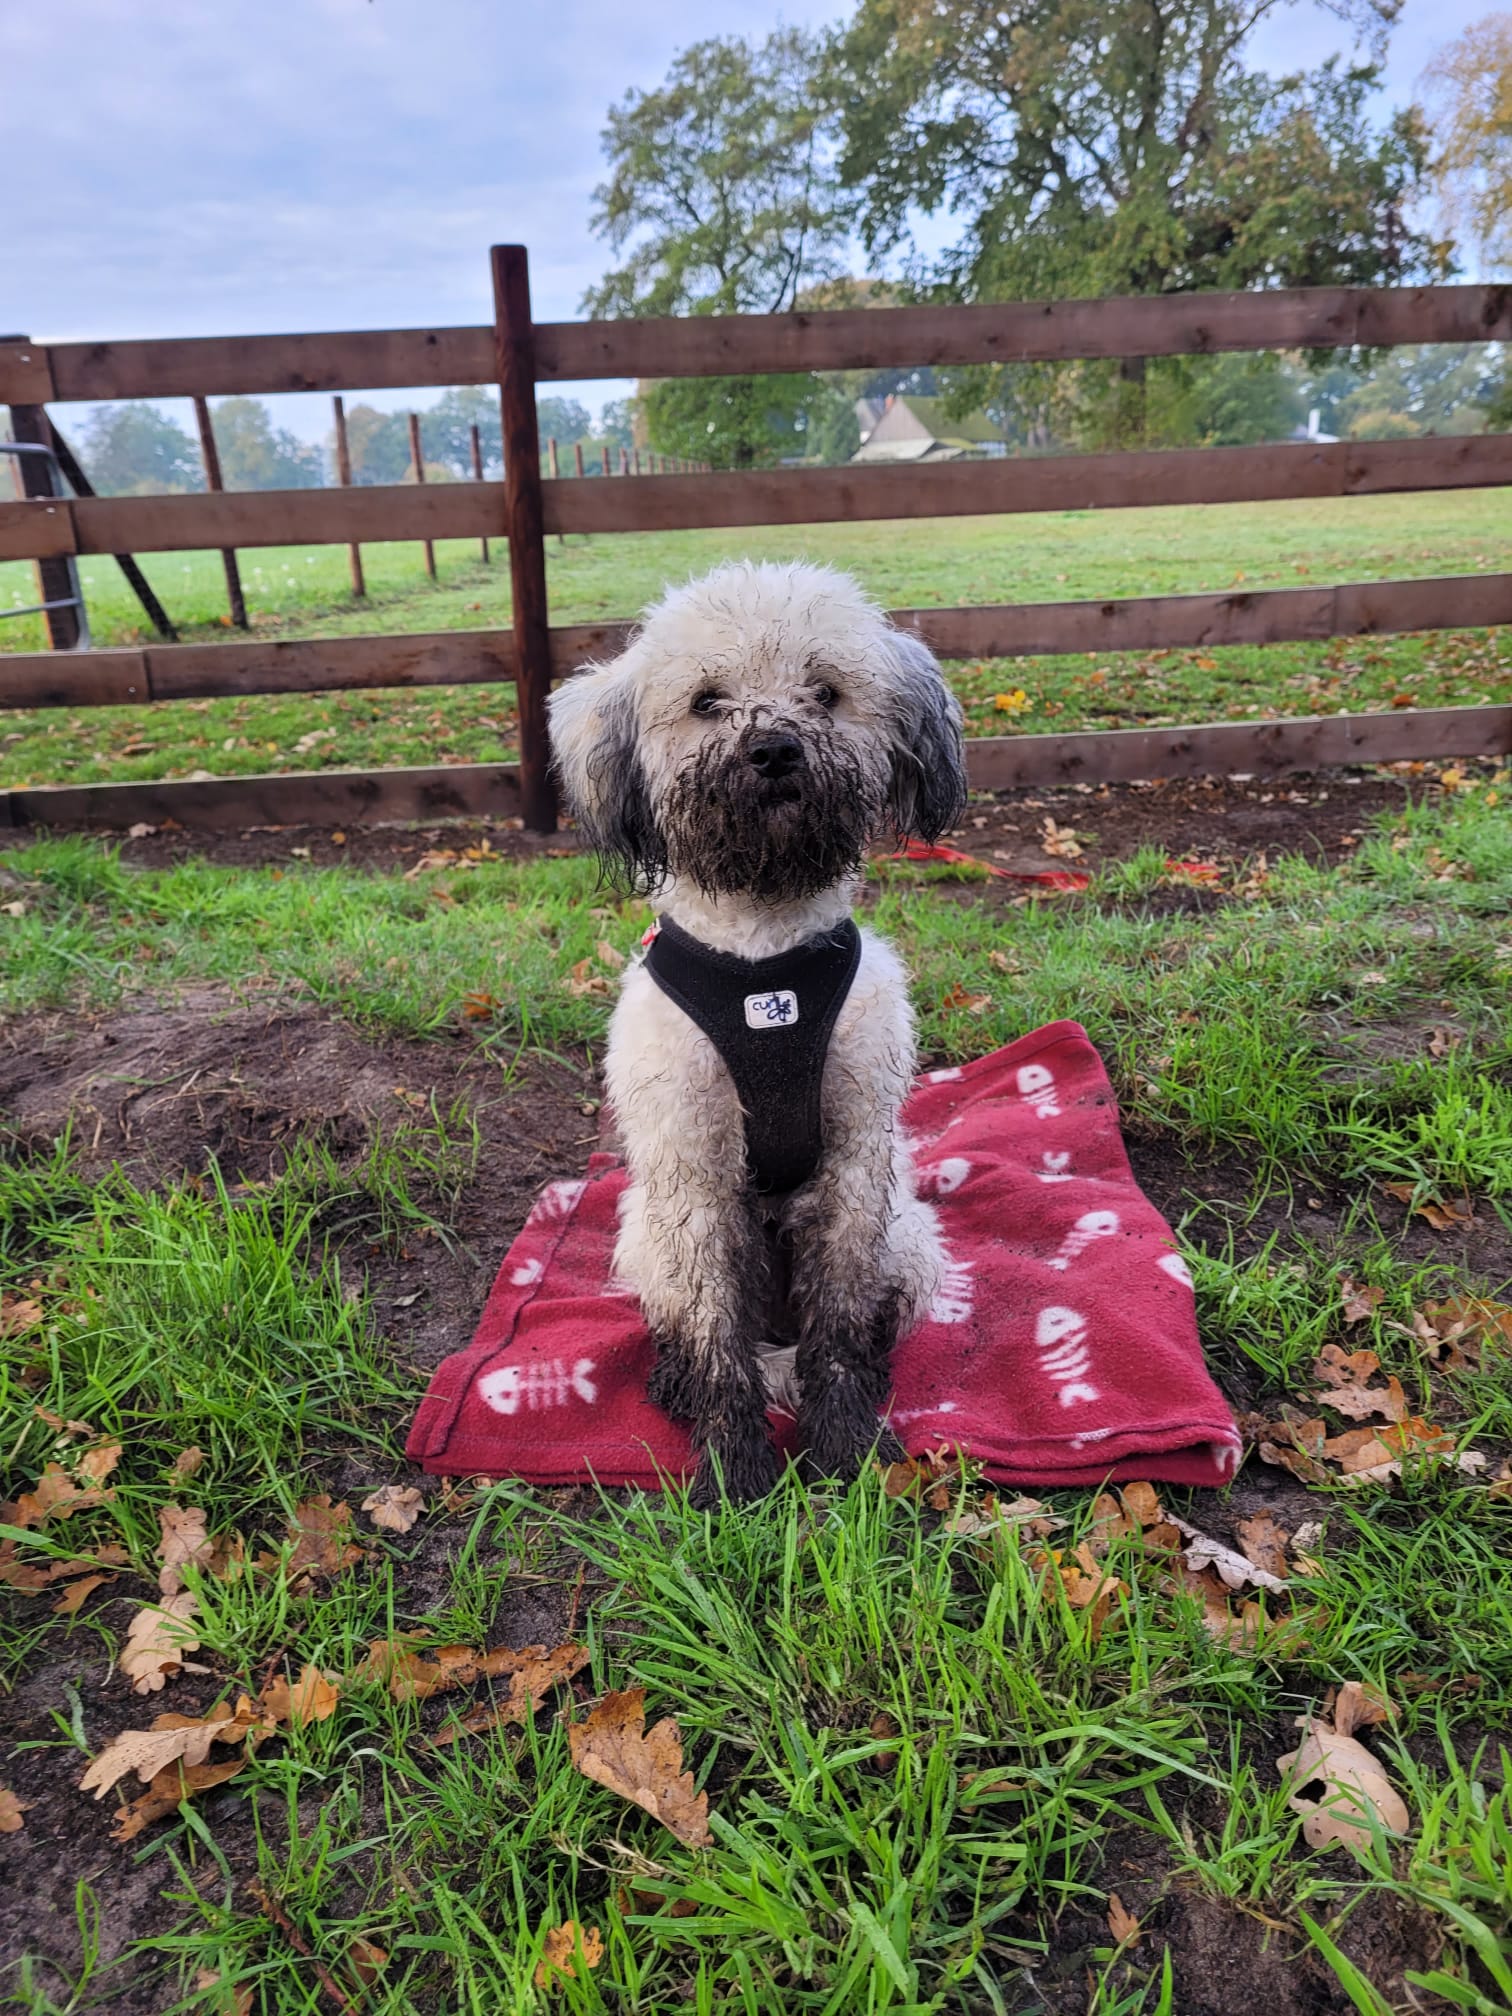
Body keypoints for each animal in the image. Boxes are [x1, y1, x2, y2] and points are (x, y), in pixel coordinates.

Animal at [552, 560, 971, 1507]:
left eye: (825, 693)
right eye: (708, 700)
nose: (774, 748)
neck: (764, 961)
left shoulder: (855, 1163)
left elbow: (841, 1324)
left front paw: (845, 1442)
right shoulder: (693, 1176)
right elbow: (715, 1334)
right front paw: (733, 1462)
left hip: (910, 1235)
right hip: (645, 1233)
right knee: (687, 1323)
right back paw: (677, 1379)